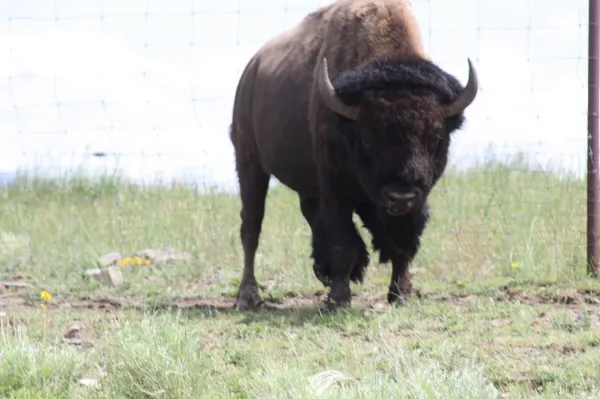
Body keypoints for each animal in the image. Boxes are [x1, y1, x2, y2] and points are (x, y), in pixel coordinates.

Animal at [230, 0, 478, 310]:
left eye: (435, 137)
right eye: (368, 139)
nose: (400, 197)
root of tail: (250, 72)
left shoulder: (414, 202)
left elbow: (402, 244)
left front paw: (402, 293)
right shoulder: (334, 186)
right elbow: (343, 241)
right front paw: (338, 298)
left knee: (308, 215)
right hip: (249, 162)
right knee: (251, 227)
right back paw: (248, 295)